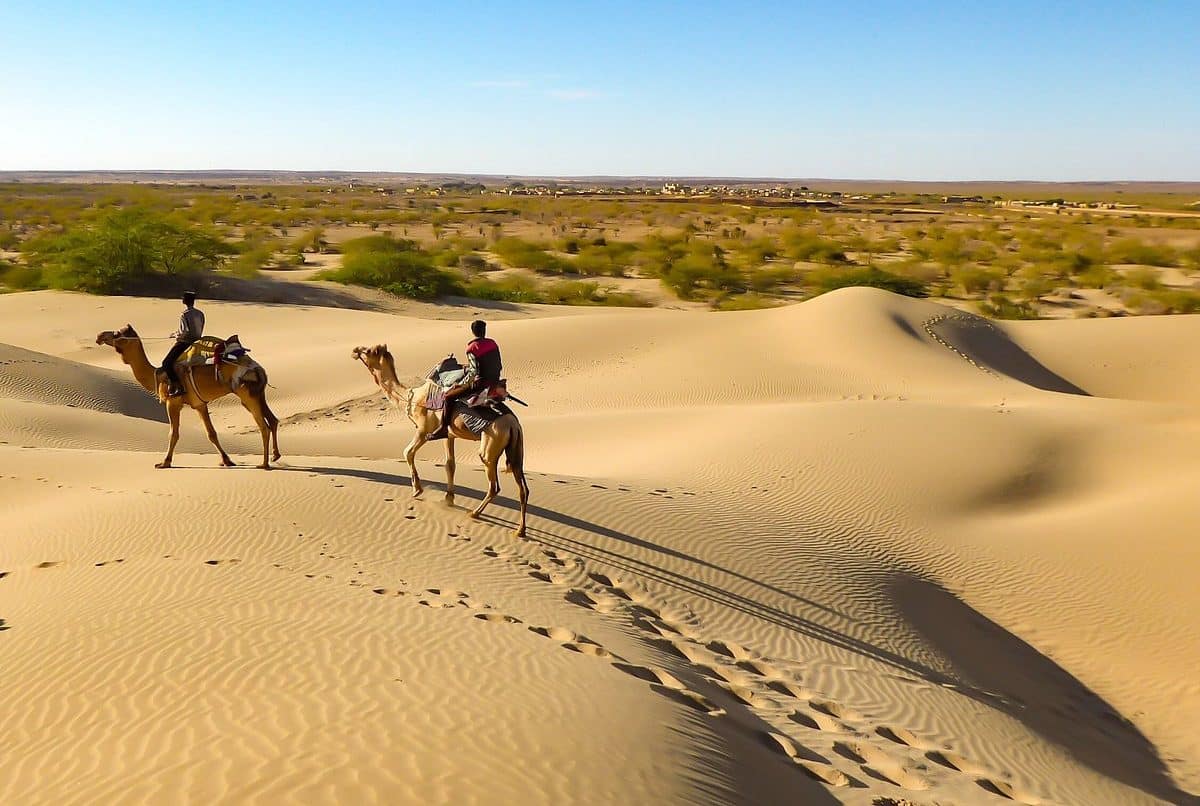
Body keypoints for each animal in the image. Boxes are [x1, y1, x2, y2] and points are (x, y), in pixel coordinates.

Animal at [96, 323, 280, 470]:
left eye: (117, 334)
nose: (100, 336)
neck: (157, 375)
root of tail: (257, 368)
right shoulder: (199, 404)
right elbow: (211, 433)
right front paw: (227, 461)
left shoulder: (172, 402)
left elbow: (174, 433)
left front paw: (164, 462)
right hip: (257, 394)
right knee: (273, 420)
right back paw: (275, 456)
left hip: (246, 393)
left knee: (264, 426)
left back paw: (264, 464)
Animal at [350, 340, 530, 534]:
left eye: (368, 351)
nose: (355, 350)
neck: (411, 397)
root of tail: (513, 425)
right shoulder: (448, 434)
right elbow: (449, 464)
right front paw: (448, 498)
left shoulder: (423, 430)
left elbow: (407, 452)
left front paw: (418, 489)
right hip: (516, 448)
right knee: (523, 488)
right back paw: (520, 530)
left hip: (491, 445)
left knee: (493, 485)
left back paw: (475, 513)